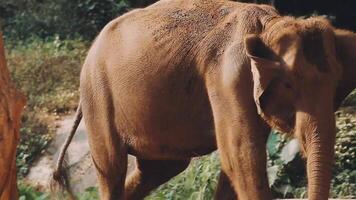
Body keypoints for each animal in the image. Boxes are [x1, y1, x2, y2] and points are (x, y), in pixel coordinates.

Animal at [51, 0, 356, 199]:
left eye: (335, 89)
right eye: (290, 85)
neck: (271, 24)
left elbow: (236, 164)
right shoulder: (228, 77)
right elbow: (243, 159)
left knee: (160, 169)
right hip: (97, 93)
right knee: (112, 167)